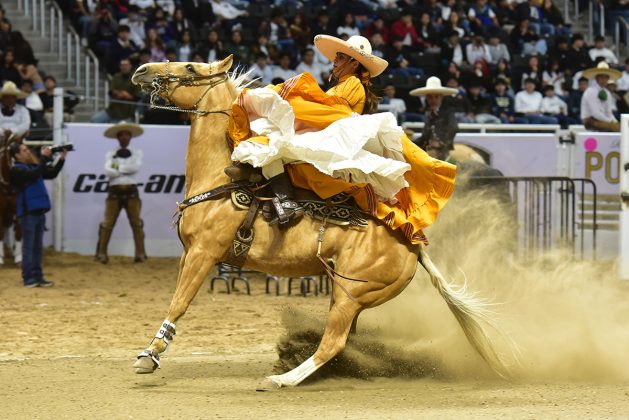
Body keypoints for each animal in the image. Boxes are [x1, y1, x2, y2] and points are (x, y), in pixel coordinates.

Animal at [131, 56, 510, 388]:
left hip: (350, 294)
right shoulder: (189, 253)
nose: (142, 69)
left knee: (334, 342)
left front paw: (150, 355)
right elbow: (178, 297)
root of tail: (412, 242)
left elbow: (179, 302)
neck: (219, 177)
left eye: (190, 68)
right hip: (347, 294)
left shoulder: (204, 253)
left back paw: (283, 379)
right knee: (344, 340)